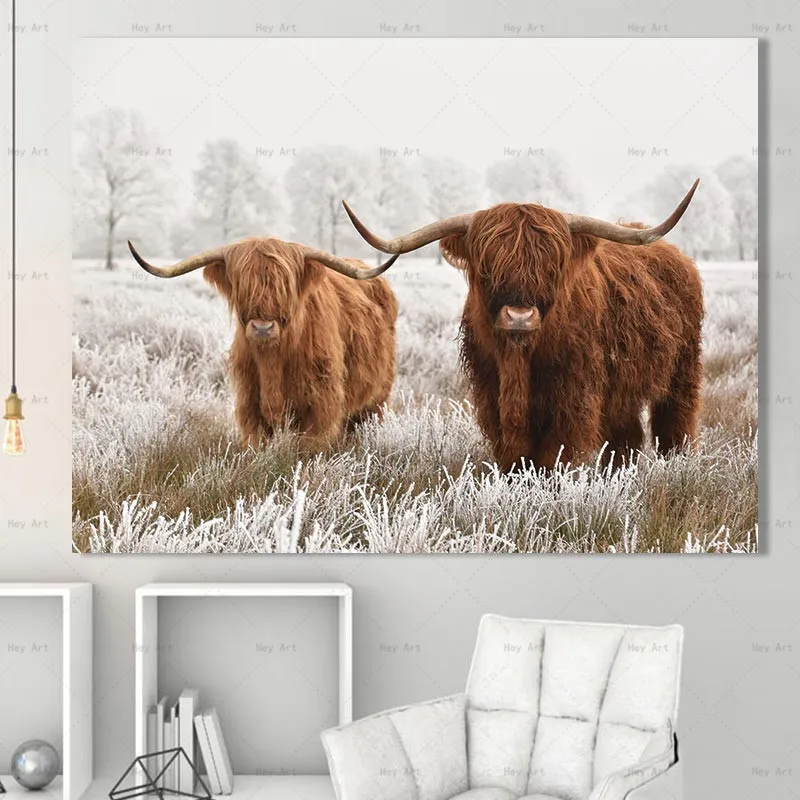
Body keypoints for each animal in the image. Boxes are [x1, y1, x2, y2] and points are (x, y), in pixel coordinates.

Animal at [128, 237, 399, 452]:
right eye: (242, 285)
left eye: (284, 286)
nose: (262, 328)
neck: (273, 361)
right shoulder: (250, 406)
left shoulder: (321, 407)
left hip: (376, 399)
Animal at [340, 181, 703, 472]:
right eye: (487, 265)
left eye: (551, 265)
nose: (519, 316)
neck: (519, 359)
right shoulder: (491, 393)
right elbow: (514, 456)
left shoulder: (574, 397)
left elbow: (555, 456)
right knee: (626, 437)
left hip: (682, 371)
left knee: (674, 424)